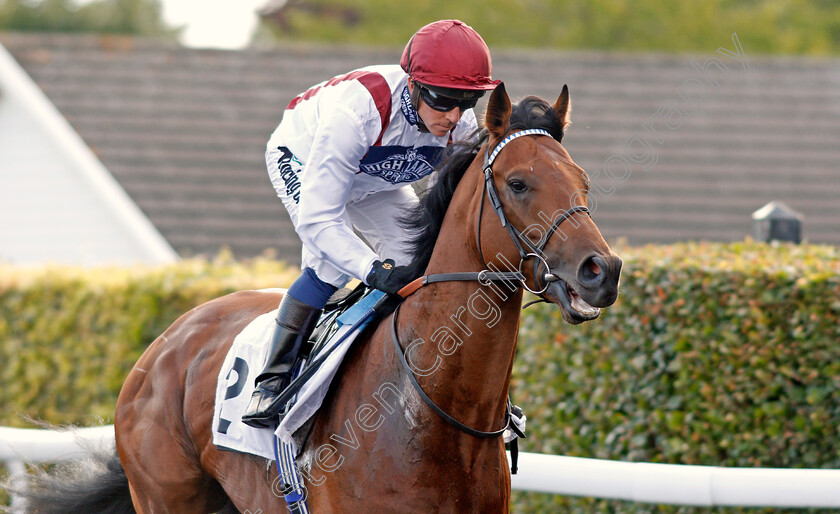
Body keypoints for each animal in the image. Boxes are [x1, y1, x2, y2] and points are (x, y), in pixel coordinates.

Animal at [13, 82, 620, 510]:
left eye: (583, 182)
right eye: (518, 183)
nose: (602, 270)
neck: (437, 412)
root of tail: (164, 343)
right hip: (166, 495)